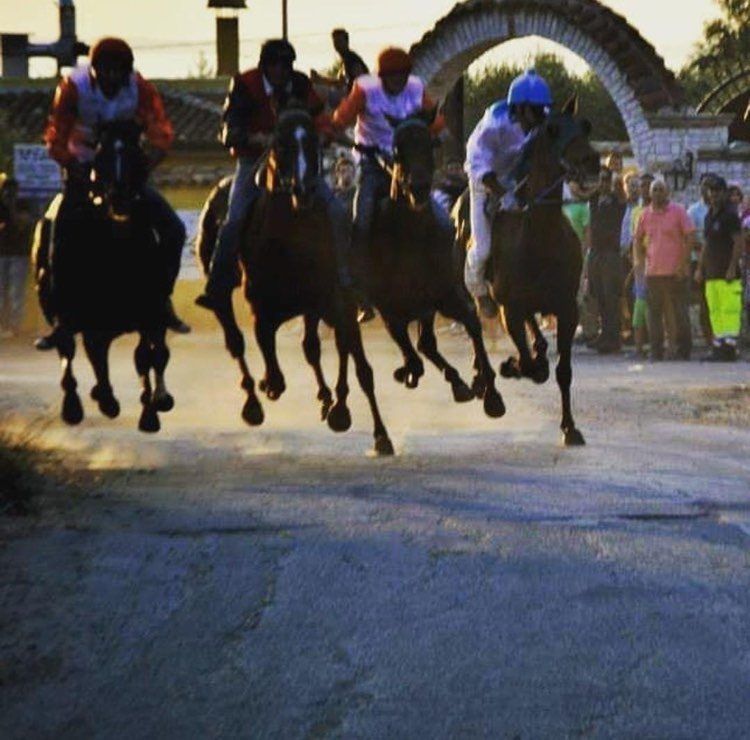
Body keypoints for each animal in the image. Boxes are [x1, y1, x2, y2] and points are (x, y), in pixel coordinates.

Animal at [197, 107, 396, 456]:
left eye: (314, 141)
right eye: (281, 144)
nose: (303, 190)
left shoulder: (333, 302)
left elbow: (358, 365)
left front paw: (374, 431)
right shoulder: (262, 308)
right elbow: (272, 361)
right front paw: (270, 385)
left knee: (313, 348)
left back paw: (326, 399)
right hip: (221, 282)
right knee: (234, 337)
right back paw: (254, 401)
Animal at [356, 113, 508, 420]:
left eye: (431, 144)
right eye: (397, 149)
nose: (419, 189)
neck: (411, 238)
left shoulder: (447, 295)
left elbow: (473, 323)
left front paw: (490, 393)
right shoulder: (391, 311)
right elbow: (413, 356)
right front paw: (407, 372)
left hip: (428, 307)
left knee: (426, 342)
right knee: (420, 347)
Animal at [458, 96, 600, 448]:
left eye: (585, 126)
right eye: (552, 130)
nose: (591, 161)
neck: (540, 240)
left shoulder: (567, 308)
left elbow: (562, 371)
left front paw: (570, 428)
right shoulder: (510, 308)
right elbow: (526, 362)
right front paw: (511, 366)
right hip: (469, 293)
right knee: (477, 331)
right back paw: (488, 390)